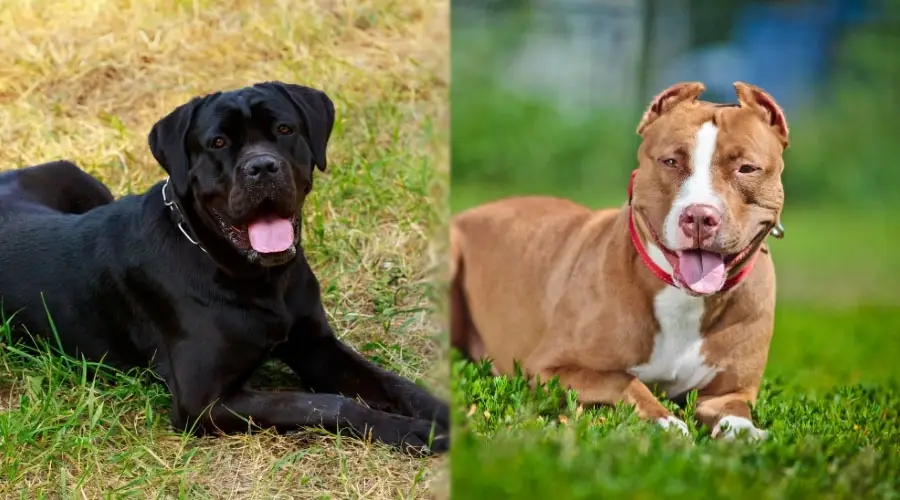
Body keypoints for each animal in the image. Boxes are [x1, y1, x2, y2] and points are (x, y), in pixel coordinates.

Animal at [0, 82, 450, 454]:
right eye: (217, 142)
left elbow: (392, 382)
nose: (262, 167)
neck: (256, 277)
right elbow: (325, 404)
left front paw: (445, 413)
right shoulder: (203, 401)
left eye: (284, 129)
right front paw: (412, 431)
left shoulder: (315, 345)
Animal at [450, 80, 788, 440]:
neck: (682, 298)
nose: (699, 216)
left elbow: (735, 412)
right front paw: (665, 421)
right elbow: (625, 380)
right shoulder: (549, 366)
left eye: (747, 168)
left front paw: (747, 433)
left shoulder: (729, 392)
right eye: (671, 161)